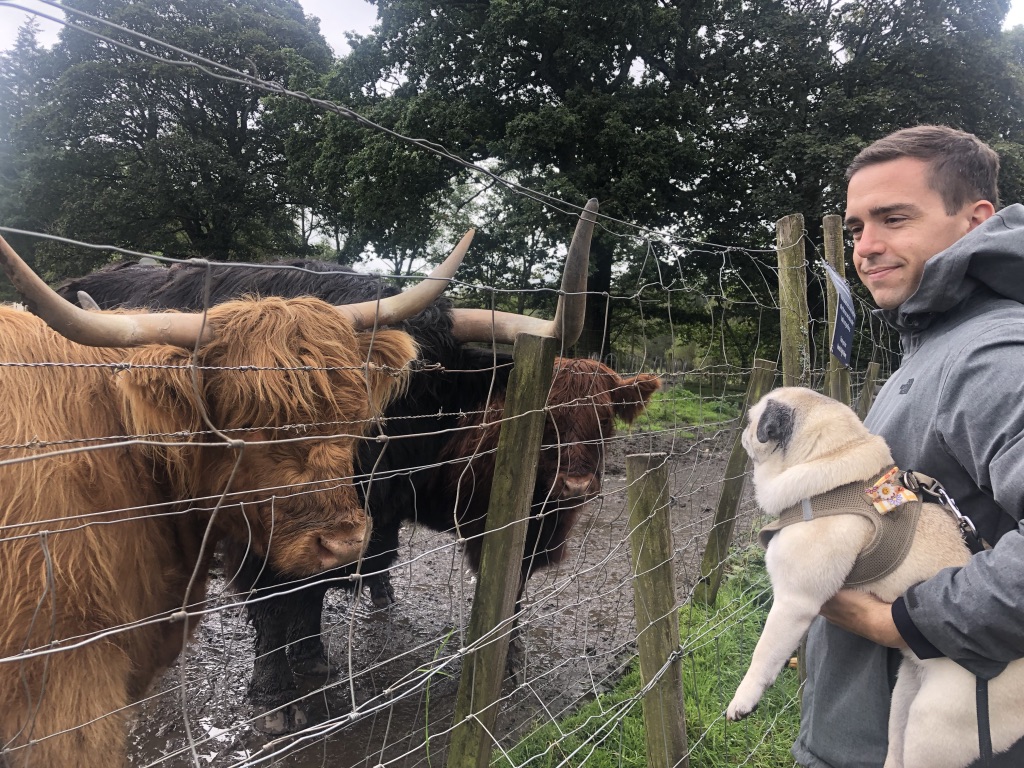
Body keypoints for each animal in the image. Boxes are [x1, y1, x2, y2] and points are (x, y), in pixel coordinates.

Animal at [0, 230, 470, 768]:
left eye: (358, 414)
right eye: (246, 423)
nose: (347, 542)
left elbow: (307, 596)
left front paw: (312, 657)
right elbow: (273, 606)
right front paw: (275, 698)